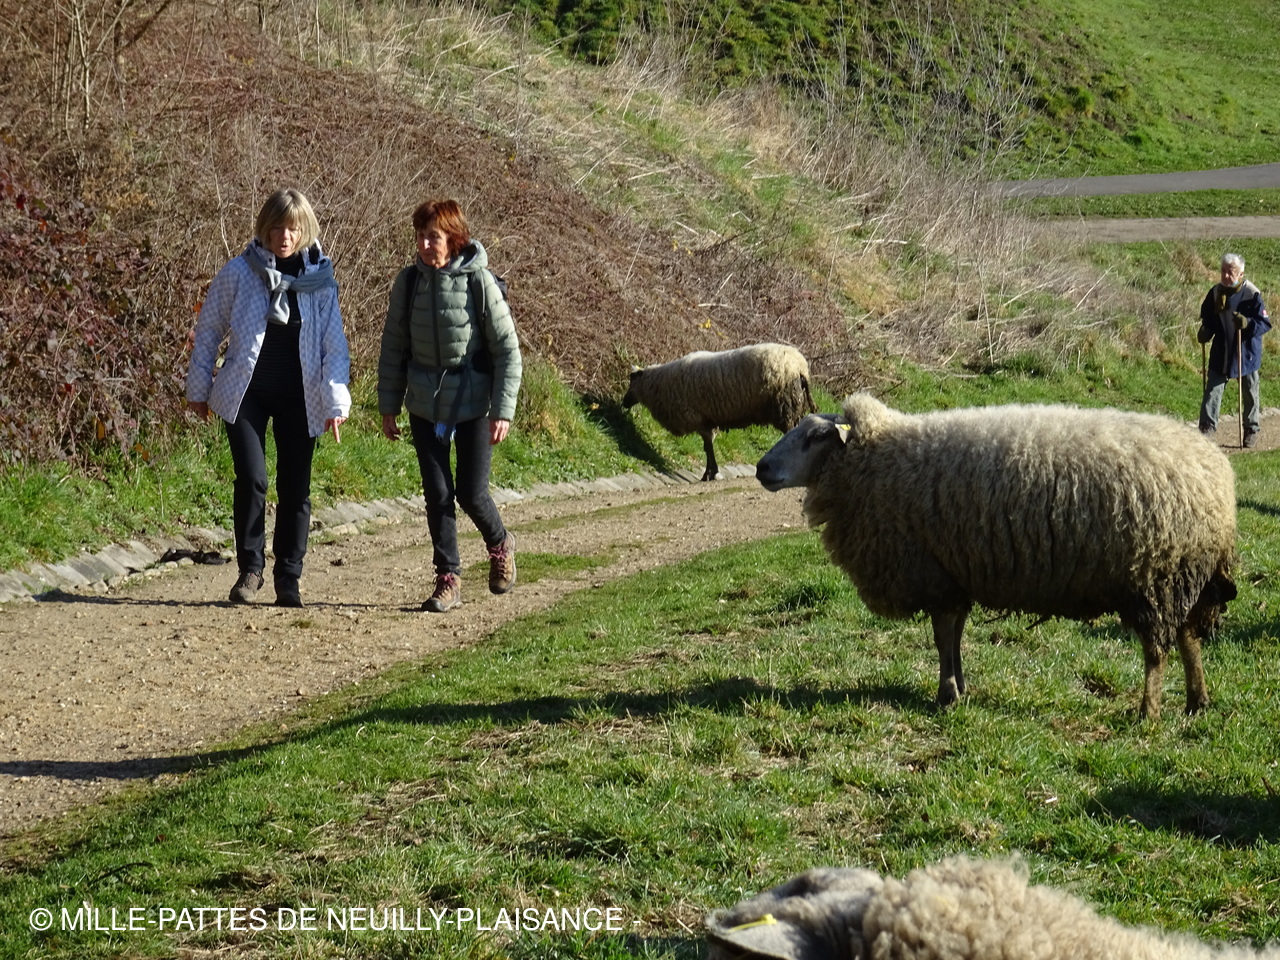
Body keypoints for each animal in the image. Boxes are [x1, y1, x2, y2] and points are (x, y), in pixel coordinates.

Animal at [622, 343, 818, 481]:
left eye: (631, 381)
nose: (623, 403)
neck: (660, 384)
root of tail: (801, 368)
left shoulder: (698, 418)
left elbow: (708, 447)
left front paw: (709, 474)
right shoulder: (707, 420)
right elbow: (708, 446)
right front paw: (710, 473)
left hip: (785, 407)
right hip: (794, 408)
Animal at [754, 394, 1238, 720]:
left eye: (816, 436)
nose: (761, 468)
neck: (874, 461)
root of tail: (1218, 474)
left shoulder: (935, 574)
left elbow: (942, 638)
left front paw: (947, 694)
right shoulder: (956, 574)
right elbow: (954, 637)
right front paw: (960, 688)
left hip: (1157, 575)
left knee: (1157, 650)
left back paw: (1148, 711)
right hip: (1182, 576)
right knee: (1188, 639)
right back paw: (1197, 701)